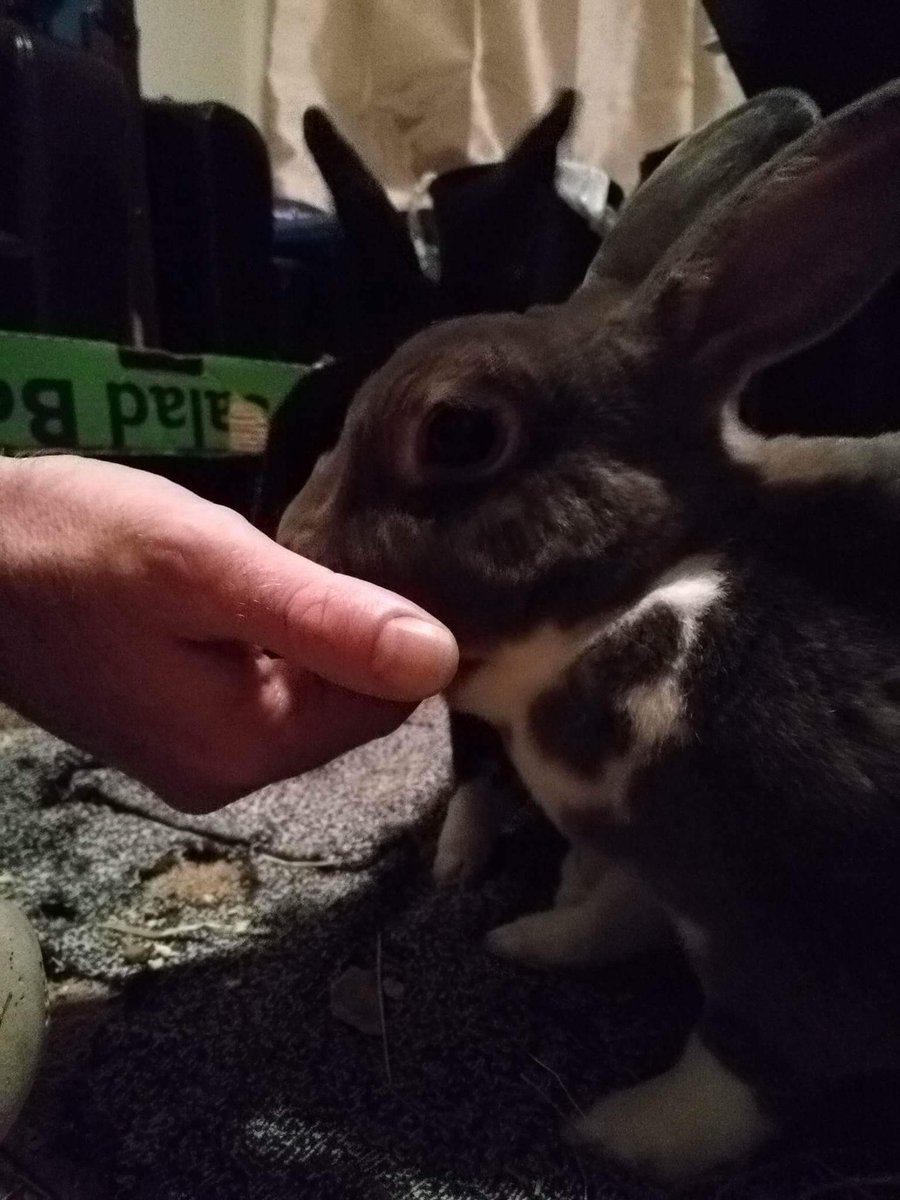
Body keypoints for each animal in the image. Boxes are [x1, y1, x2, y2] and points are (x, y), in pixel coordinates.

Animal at [274, 79, 900, 1183]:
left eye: (459, 433)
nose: (289, 541)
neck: (644, 588)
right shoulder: (666, 874)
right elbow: (614, 913)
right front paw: (530, 941)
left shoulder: (795, 925)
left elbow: (742, 1069)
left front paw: (619, 1134)